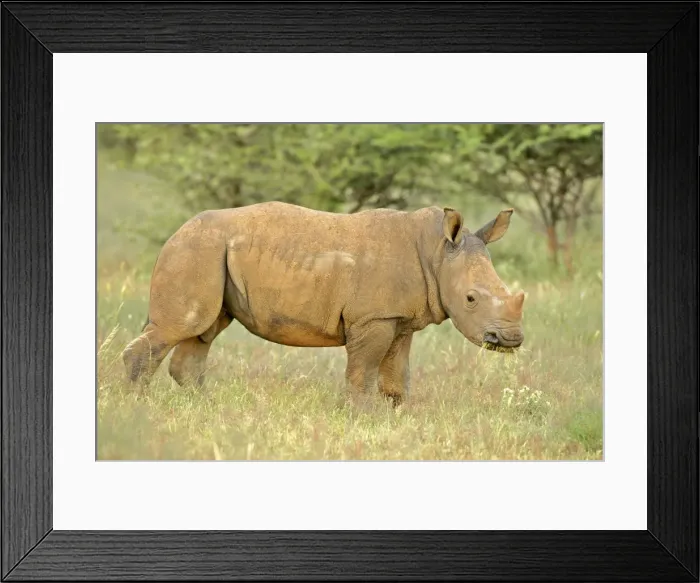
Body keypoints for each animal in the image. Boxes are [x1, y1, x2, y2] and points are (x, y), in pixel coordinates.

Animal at [122, 201, 525, 405]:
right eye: (470, 299)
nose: (511, 340)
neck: (438, 252)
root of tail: (175, 233)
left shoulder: (398, 318)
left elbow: (396, 375)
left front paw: (396, 417)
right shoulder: (372, 318)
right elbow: (363, 371)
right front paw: (361, 418)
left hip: (208, 253)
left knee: (204, 330)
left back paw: (207, 406)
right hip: (197, 250)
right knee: (184, 325)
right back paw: (139, 407)